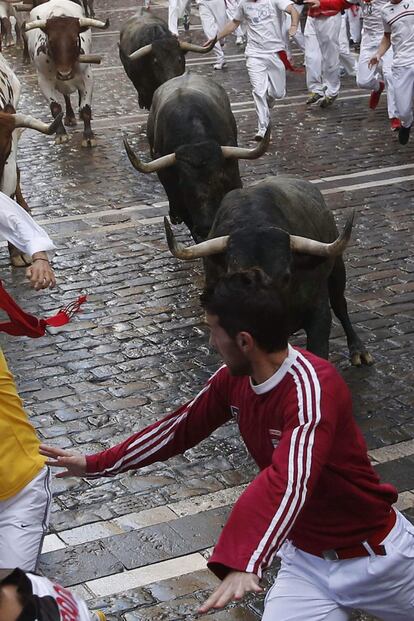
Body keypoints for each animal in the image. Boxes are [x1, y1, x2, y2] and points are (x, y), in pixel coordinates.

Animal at [163, 174, 374, 366]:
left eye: (286, 276)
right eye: (235, 276)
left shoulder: (319, 312)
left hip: (337, 266)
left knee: (340, 304)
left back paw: (359, 351)